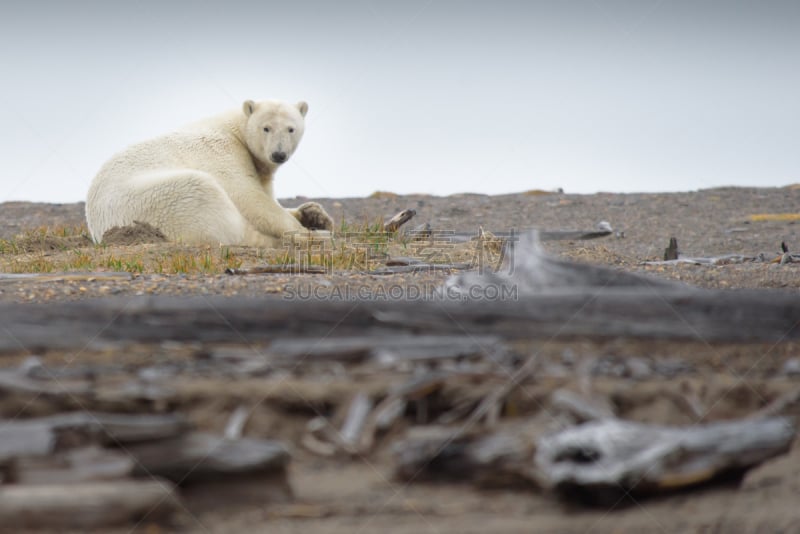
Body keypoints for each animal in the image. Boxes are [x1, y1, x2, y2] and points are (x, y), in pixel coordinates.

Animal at [82, 99, 332, 248]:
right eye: (266, 128)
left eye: (291, 129)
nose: (278, 154)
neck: (236, 129)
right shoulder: (224, 152)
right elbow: (249, 197)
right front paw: (304, 226)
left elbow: (267, 194)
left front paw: (314, 213)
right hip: (157, 200)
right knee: (216, 209)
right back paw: (309, 237)